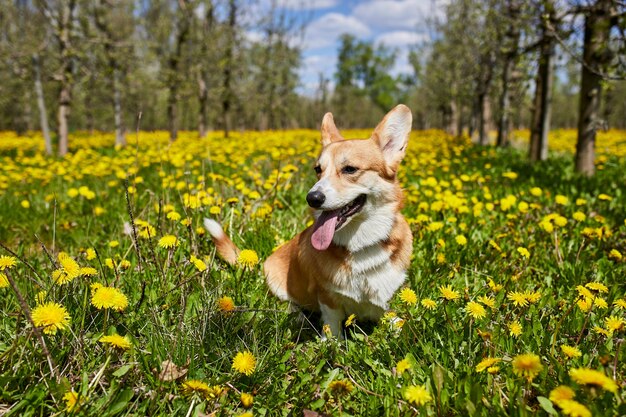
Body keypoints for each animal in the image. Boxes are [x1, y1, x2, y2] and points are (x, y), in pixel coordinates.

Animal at [202, 104, 412, 338]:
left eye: (350, 169)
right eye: (318, 170)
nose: (312, 198)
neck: (360, 245)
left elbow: (392, 317)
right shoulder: (327, 296)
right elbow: (332, 322)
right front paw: (332, 341)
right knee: (289, 304)